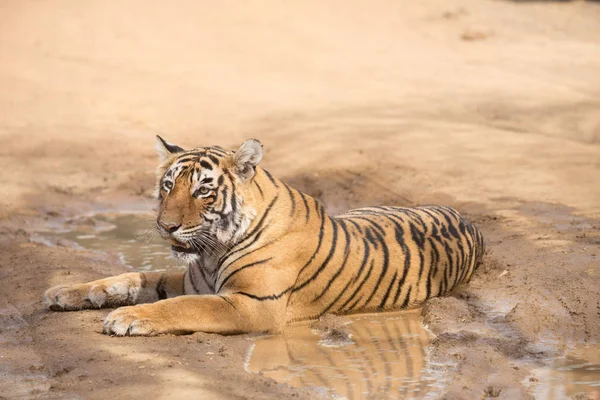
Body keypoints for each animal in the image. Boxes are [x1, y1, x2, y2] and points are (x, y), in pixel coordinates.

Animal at [42, 136, 486, 336]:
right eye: (168, 186)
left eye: (202, 190)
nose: (166, 227)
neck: (212, 251)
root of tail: (467, 218)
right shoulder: (189, 279)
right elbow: (128, 278)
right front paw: (65, 292)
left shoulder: (251, 305)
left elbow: (181, 307)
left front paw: (129, 318)